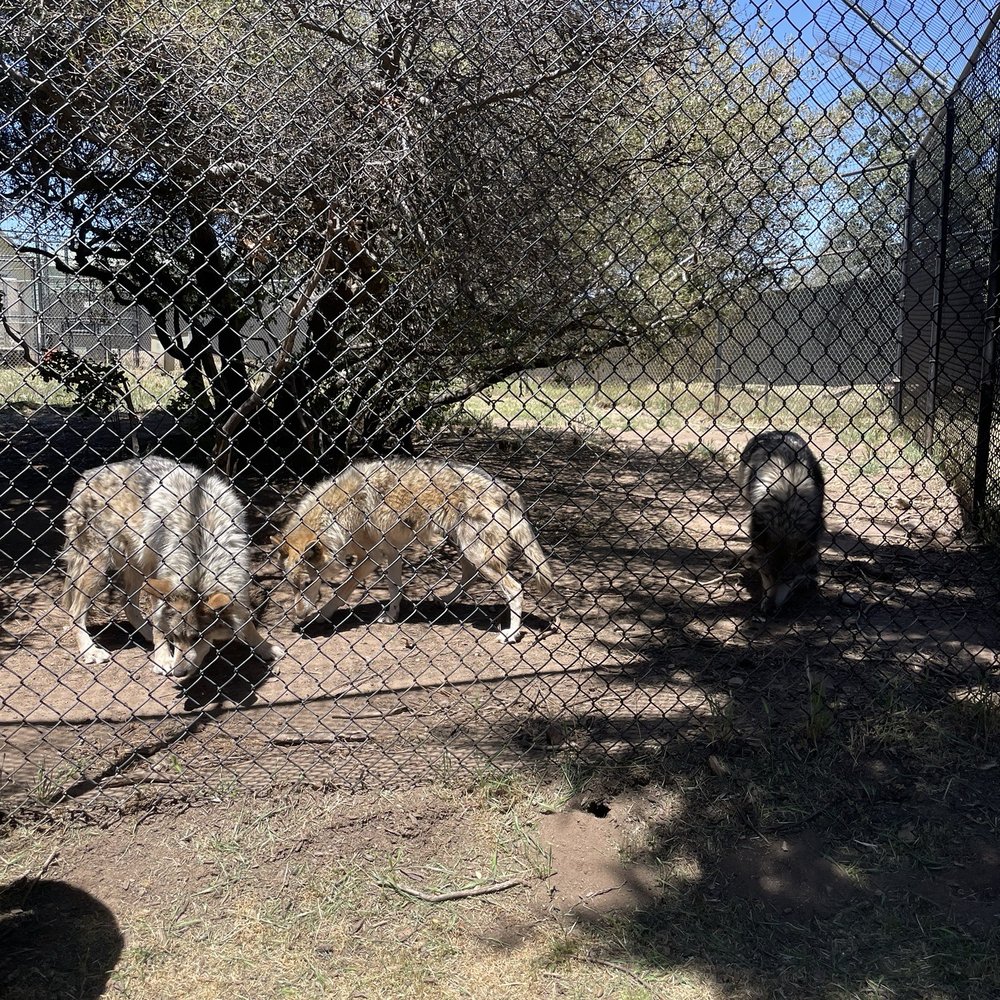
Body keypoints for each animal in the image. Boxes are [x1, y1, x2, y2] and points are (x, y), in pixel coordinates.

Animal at [62, 456, 283, 679]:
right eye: (176, 636)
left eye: (196, 638)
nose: (178, 672)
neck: (200, 532)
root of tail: (85, 477)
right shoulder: (161, 574)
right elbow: (160, 622)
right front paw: (163, 659)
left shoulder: (239, 575)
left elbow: (247, 619)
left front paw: (265, 647)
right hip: (98, 567)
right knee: (74, 611)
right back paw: (90, 651)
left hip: (137, 567)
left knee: (127, 604)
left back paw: (146, 633)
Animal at [272, 458, 558, 643]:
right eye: (290, 585)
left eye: (306, 583)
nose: (298, 614)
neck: (338, 513)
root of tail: (505, 488)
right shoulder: (392, 552)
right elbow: (394, 587)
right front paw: (392, 615)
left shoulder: (373, 557)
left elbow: (343, 589)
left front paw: (323, 614)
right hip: (468, 550)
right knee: (469, 576)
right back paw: (446, 600)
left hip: (478, 554)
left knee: (515, 588)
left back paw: (512, 634)